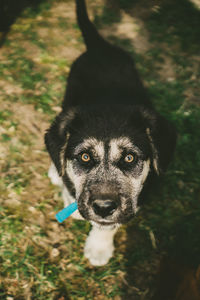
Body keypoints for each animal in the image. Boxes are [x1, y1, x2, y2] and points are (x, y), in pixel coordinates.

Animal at [44, 0, 176, 268]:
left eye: (130, 158)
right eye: (84, 157)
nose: (104, 207)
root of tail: (100, 47)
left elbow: (107, 226)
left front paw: (98, 248)